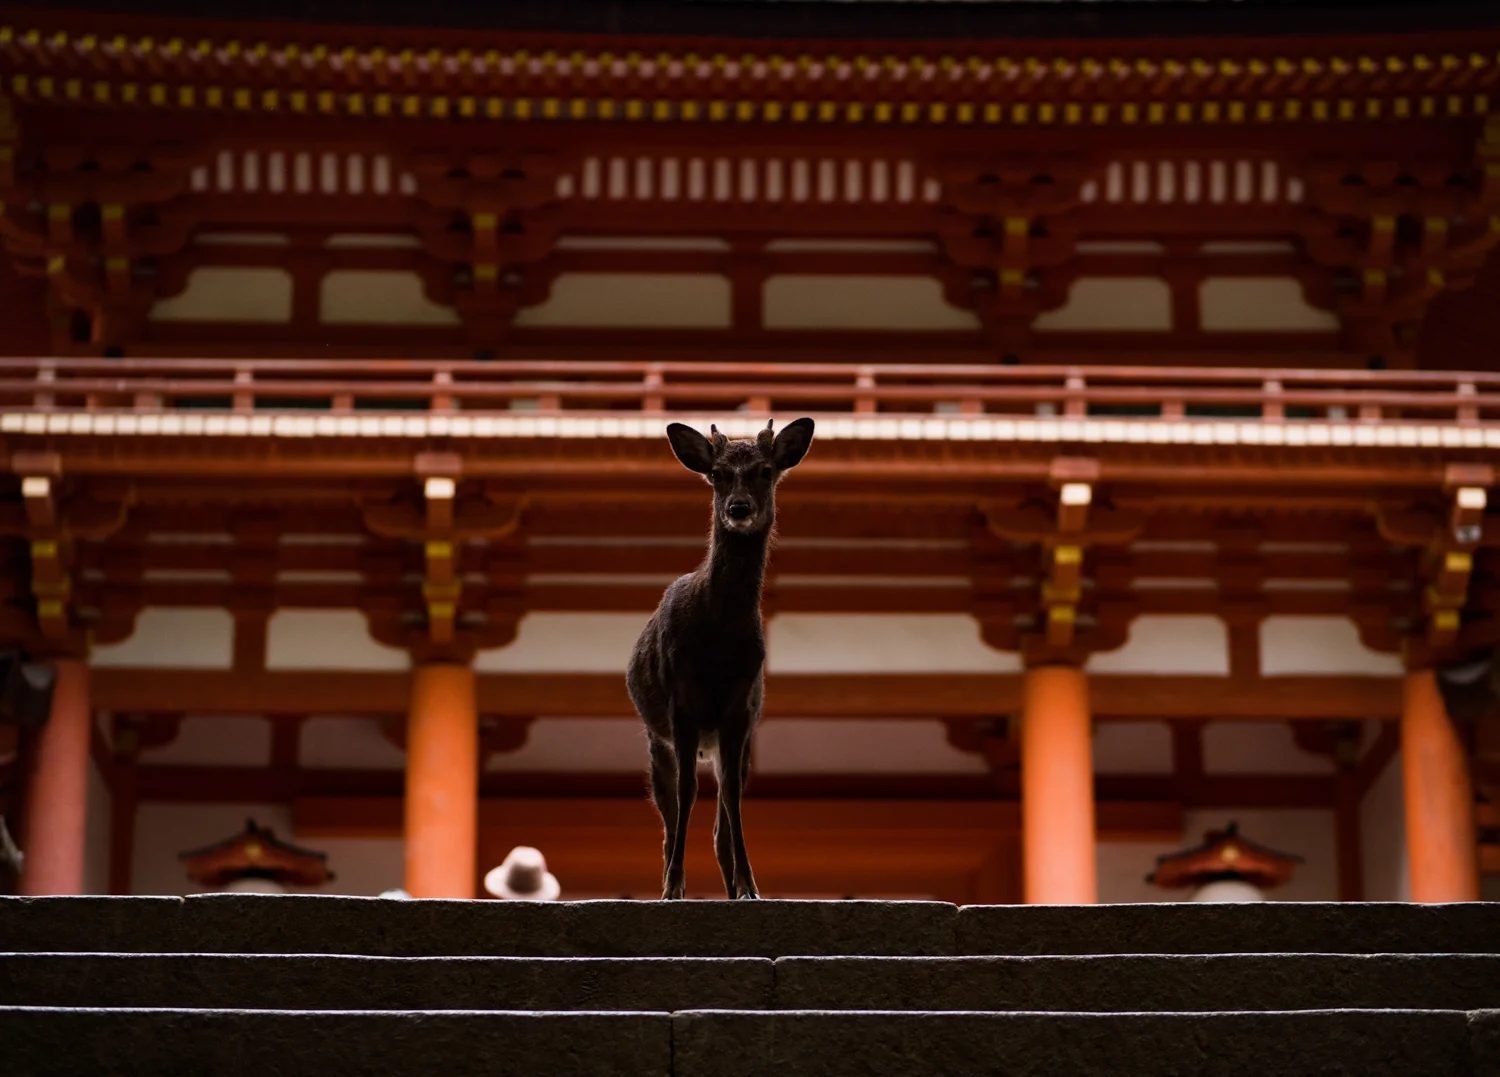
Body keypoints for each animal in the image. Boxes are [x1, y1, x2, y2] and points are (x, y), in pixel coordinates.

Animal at [626, 416, 816, 900]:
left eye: (766, 471)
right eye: (716, 474)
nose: (739, 508)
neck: (717, 643)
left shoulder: (739, 707)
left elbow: (730, 800)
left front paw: (749, 887)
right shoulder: (681, 699)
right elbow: (687, 795)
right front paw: (673, 888)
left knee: (719, 826)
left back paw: (732, 887)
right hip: (657, 740)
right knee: (669, 816)